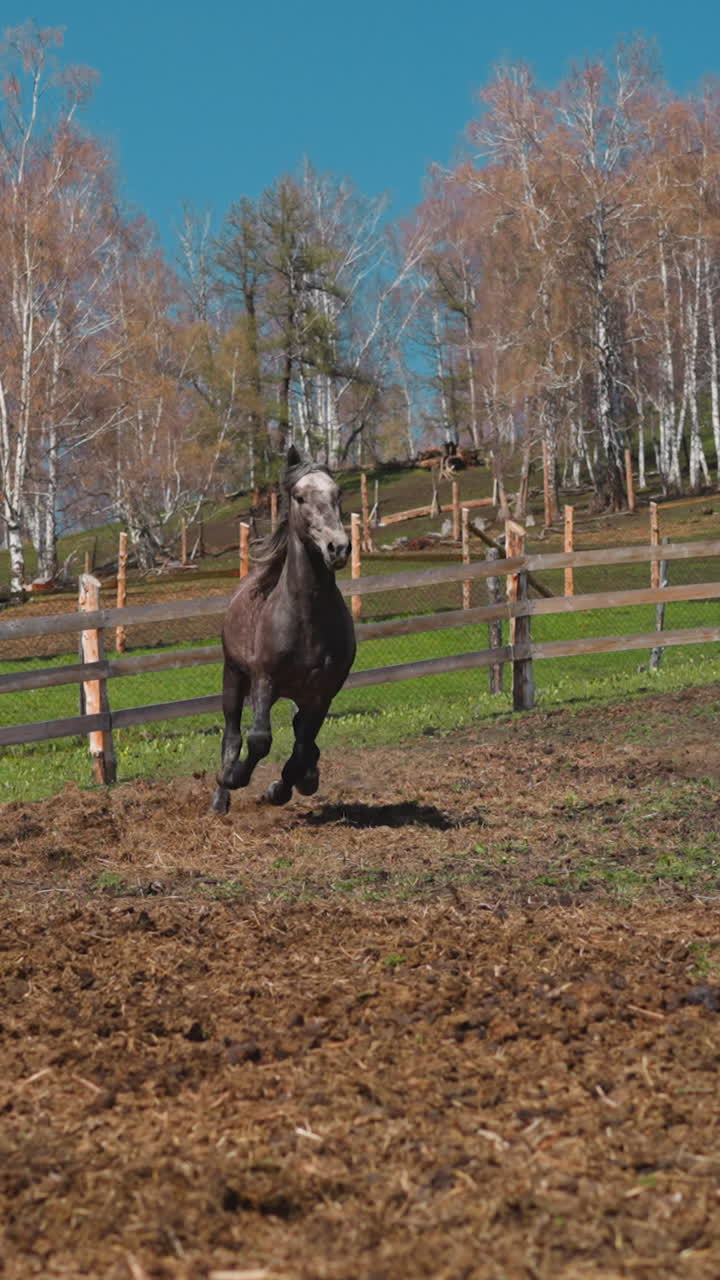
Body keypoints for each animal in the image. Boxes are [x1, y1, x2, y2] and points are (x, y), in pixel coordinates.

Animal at [212, 445, 356, 814]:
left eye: (337, 494)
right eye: (300, 497)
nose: (338, 547)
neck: (305, 619)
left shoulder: (323, 693)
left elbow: (302, 749)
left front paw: (281, 789)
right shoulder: (264, 679)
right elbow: (259, 740)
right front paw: (235, 778)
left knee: (300, 736)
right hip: (234, 675)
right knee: (232, 734)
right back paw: (220, 795)